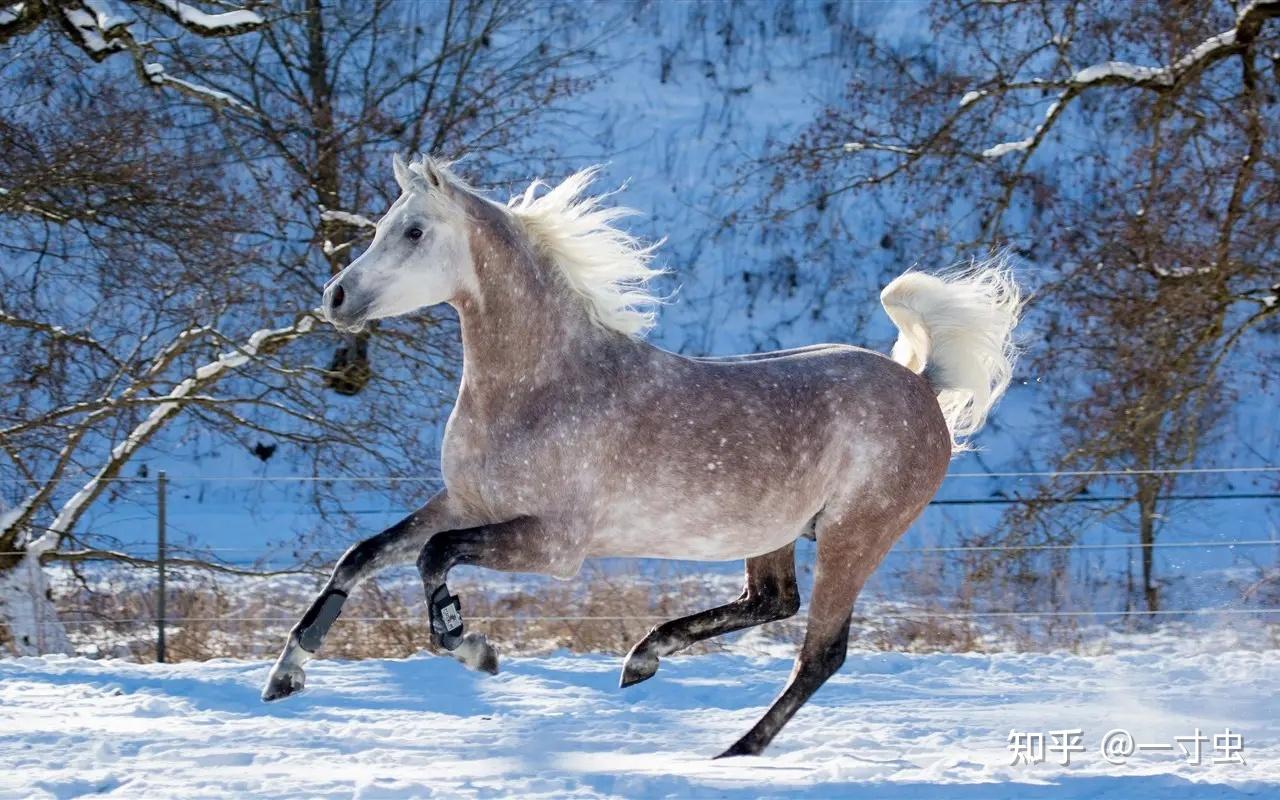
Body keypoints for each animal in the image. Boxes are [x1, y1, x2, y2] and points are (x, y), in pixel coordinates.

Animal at [262, 155, 1022, 758]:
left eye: (414, 231)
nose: (335, 298)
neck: (543, 386)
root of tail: (922, 387)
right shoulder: (465, 501)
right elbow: (363, 555)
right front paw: (285, 675)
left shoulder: (555, 545)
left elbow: (432, 557)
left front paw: (477, 651)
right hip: (773, 533)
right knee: (771, 601)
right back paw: (644, 658)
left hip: (853, 537)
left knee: (820, 654)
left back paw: (734, 751)